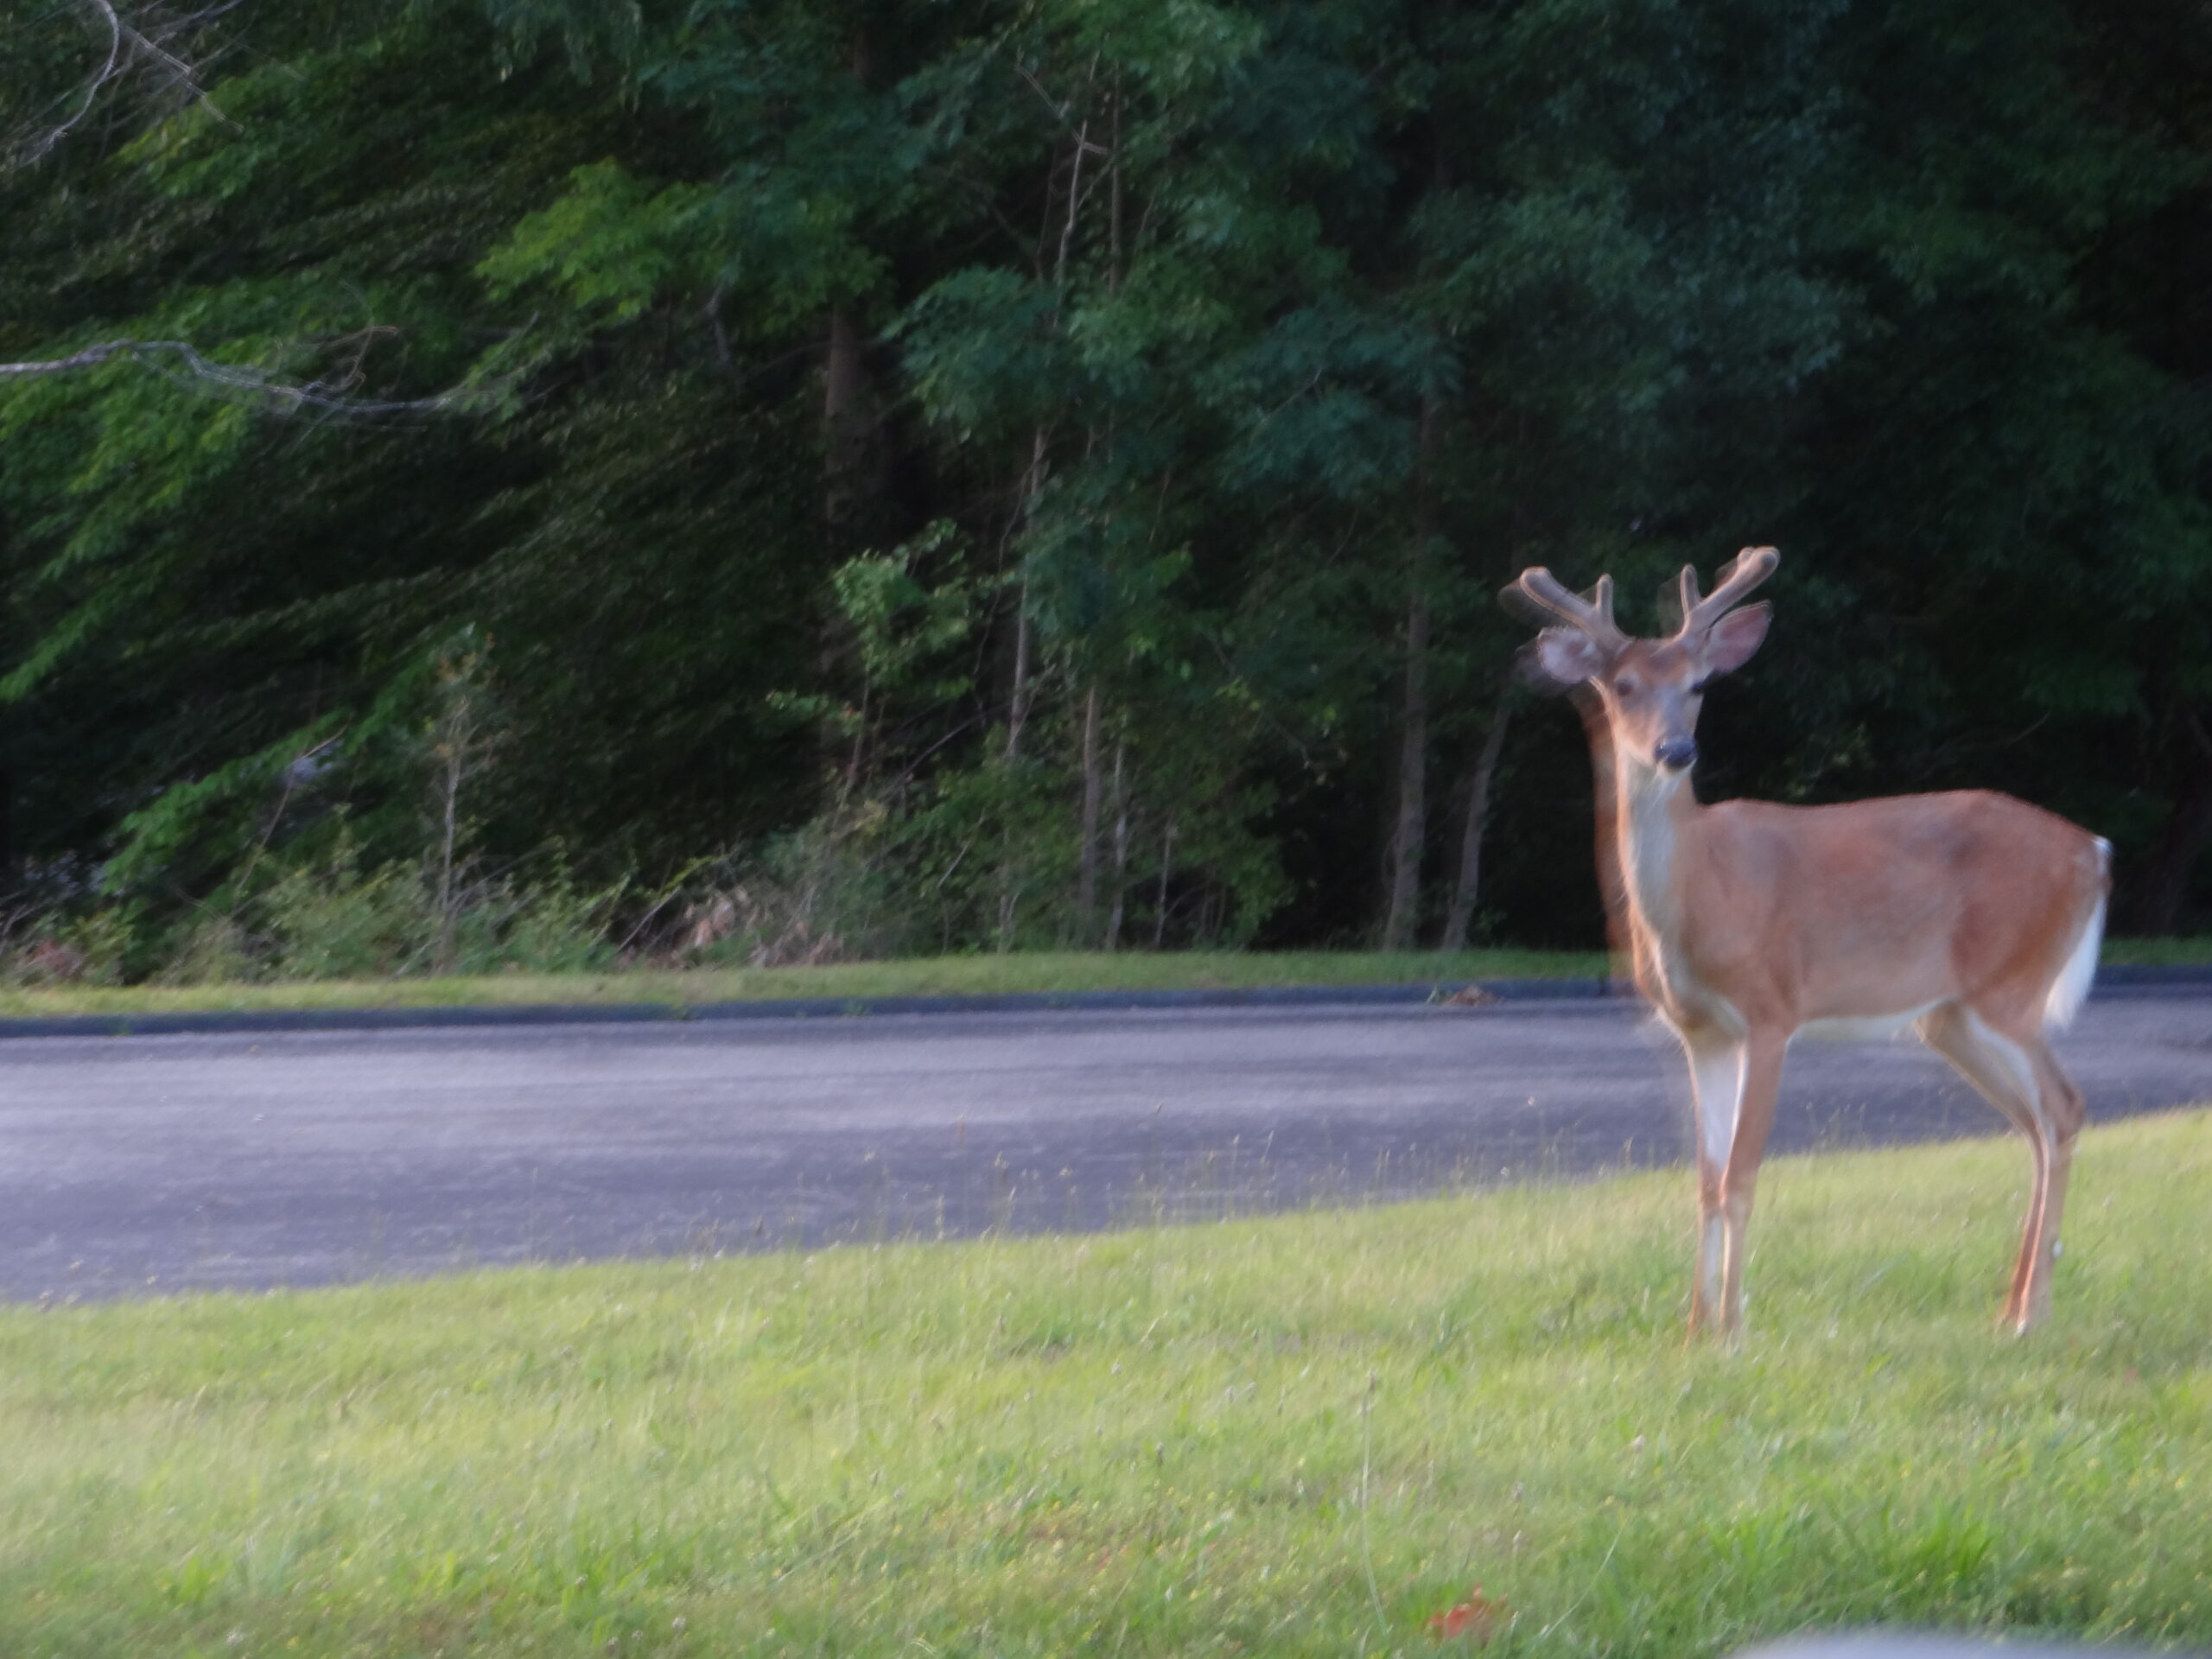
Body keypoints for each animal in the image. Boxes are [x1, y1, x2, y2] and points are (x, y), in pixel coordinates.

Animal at [1510, 547, 2110, 1340]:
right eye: (1624, 685)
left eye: (1698, 684)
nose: (1676, 750)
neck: (1703, 892)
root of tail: (2095, 852)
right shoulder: (1699, 1032)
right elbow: (1704, 1182)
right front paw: (1694, 1329)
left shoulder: (1772, 1009)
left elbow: (1741, 1176)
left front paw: (1732, 1331)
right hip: (1950, 1017)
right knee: (2037, 1125)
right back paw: (2012, 1308)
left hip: (2011, 986)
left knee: (2065, 1108)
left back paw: (2028, 1316)